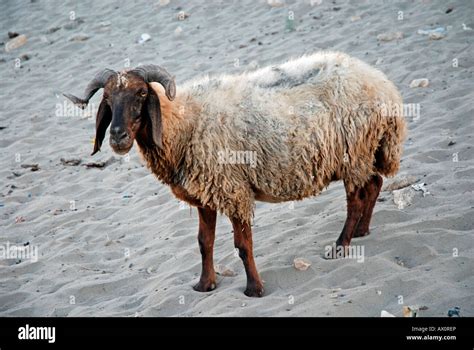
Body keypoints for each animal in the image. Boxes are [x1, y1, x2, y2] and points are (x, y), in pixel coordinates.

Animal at [65, 51, 408, 298]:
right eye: (107, 99)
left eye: (140, 94)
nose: (117, 137)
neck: (184, 123)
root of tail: (384, 86)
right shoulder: (205, 192)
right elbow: (204, 242)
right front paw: (205, 285)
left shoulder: (233, 189)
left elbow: (243, 246)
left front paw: (254, 289)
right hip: (364, 152)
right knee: (374, 184)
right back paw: (362, 231)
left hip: (354, 151)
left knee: (356, 199)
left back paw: (341, 245)